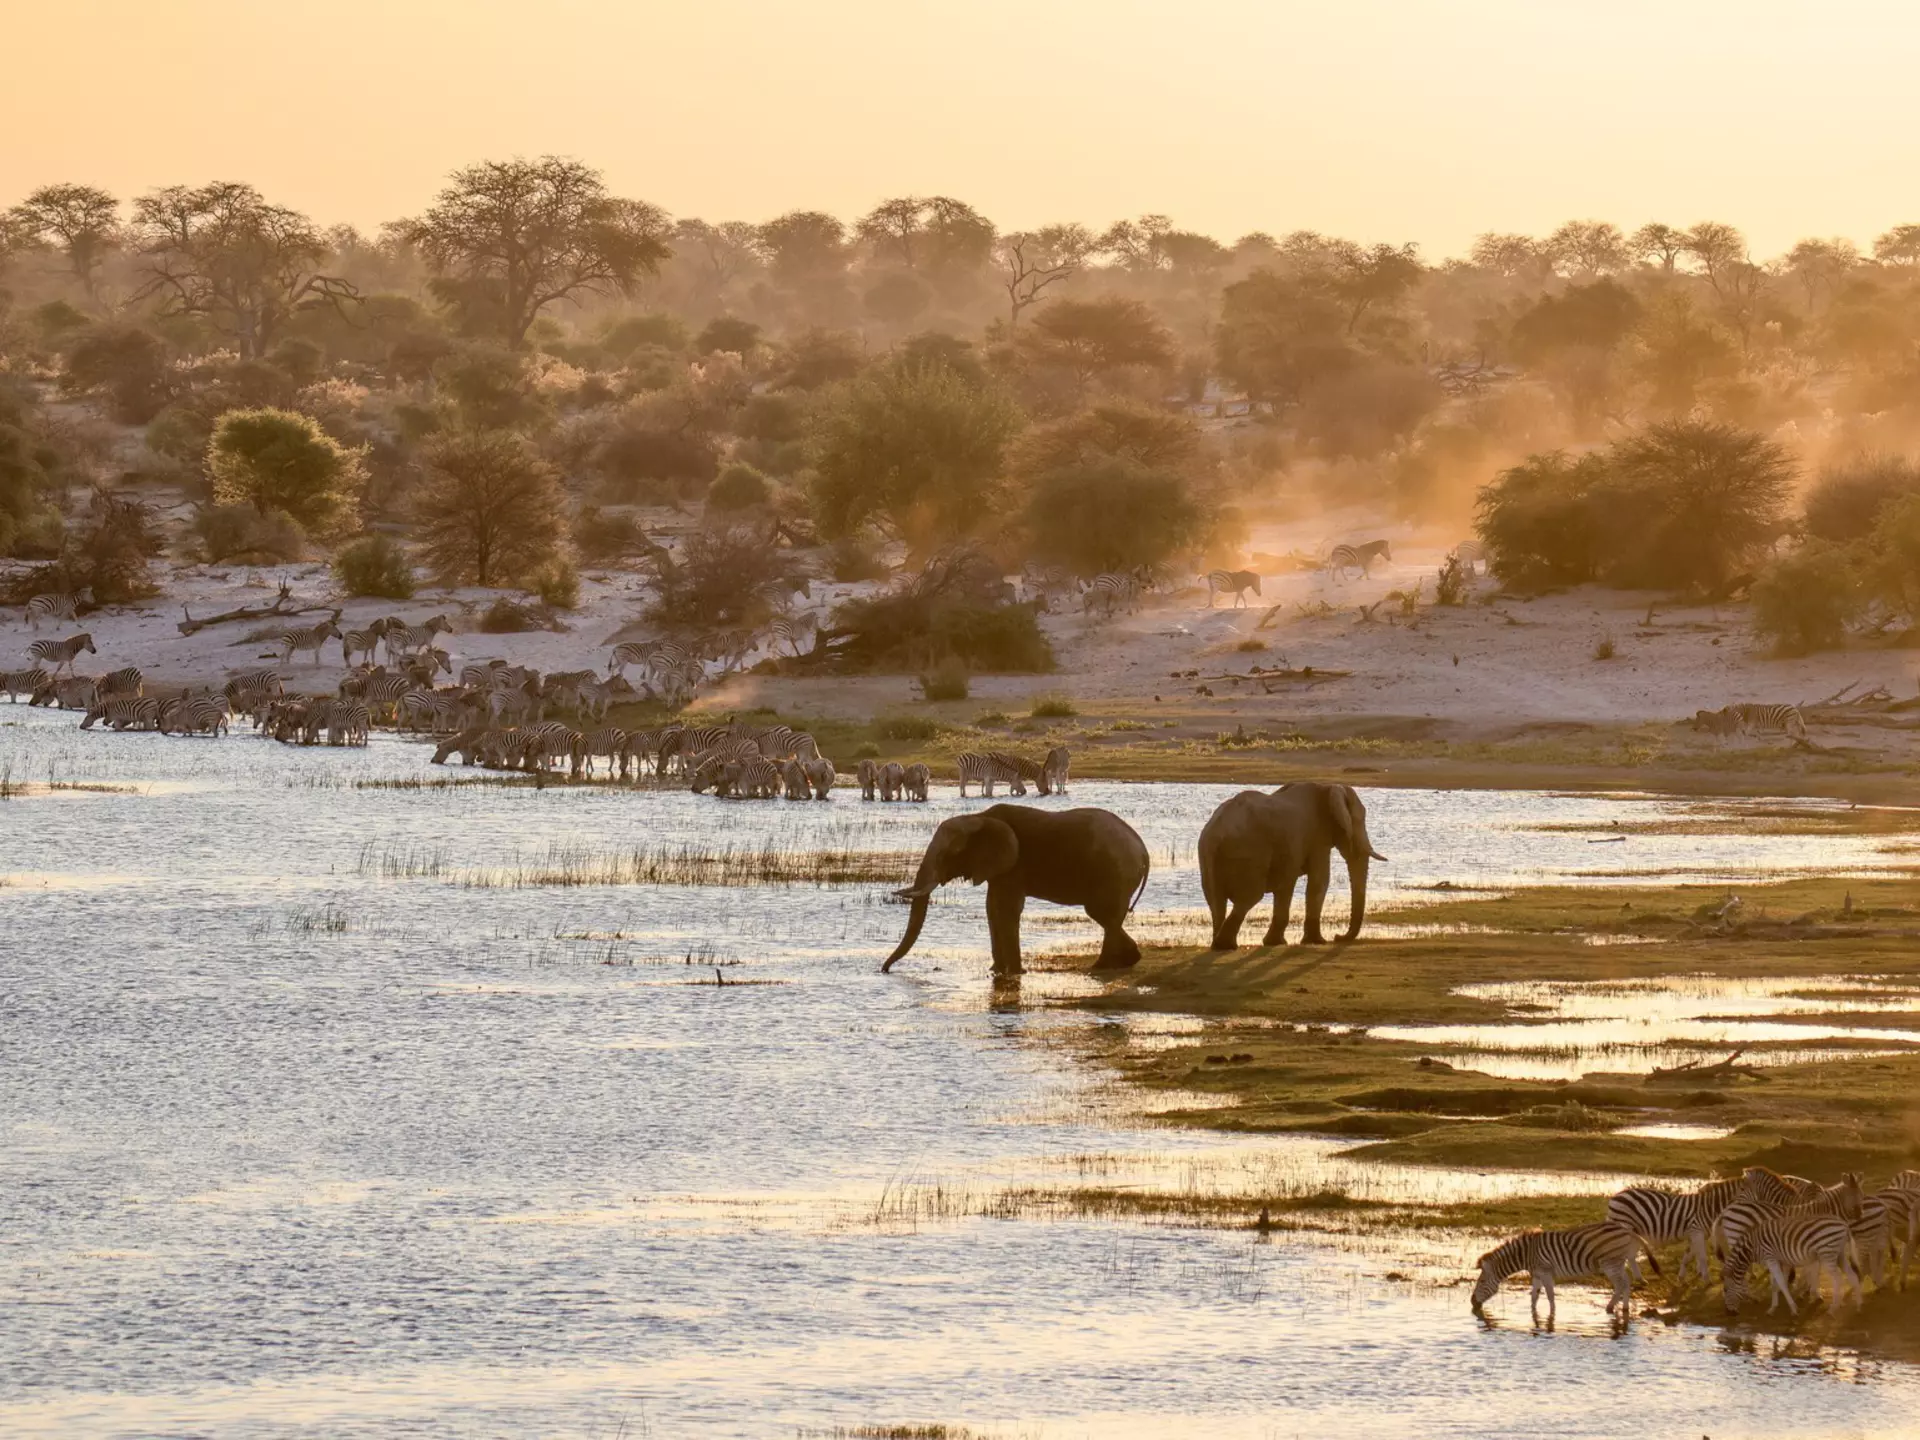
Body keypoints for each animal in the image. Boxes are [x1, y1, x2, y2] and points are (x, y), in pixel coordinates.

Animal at [883, 805, 1150, 975]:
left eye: (949, 854)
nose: (884, 970)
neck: (978, 817)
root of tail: (1142, 849)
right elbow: (992, 908)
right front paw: (997, 971)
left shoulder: (1014, 864)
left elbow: (1006, 909)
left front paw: (1014, 973)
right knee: (1107, 916)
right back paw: (1123, 961)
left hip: (1114, 873)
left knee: (1100, 913)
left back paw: (1107, 965)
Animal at [1197, 782, 1386, 948]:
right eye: (1359, 820)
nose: (1337, 936)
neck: (1328, 787)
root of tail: (1217, 831)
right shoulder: (1317, 837)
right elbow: (1319, 881)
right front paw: (1316, 941)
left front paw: (1277, 942)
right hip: (1249, 852)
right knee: (1250, 897)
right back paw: (1225, 945)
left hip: (1209, 856)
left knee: (1216, 902)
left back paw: (1220, 944)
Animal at [1469, 1221, 1648, 1321]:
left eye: (1482, 1281)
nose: (1472, 1302)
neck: (1527, 1254)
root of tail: (1626, 1229)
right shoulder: (1537, 1274)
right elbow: (1534, 1296)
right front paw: (1533, 1313)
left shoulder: (1546, 1272)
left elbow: (1550, 1295)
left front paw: (1552, 1314)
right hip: (1618, 1262)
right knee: (1626, 1282)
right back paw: (1624, 1309)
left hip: (1610, 1263)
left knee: (1620, 1284)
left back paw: (1610, 1308)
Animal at [1722, 1211, 1861, 1315]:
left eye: (1725, 1289)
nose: (1728, 1313)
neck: (1751, 1248)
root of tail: (1844, 1224)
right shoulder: (1779, 1261)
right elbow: (1776, 1284)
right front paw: (1773, 1307)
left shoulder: (1770, 1258)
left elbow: (1782, 1283)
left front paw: (1793, 1308)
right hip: (1839, 1254)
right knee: (1852, 1275)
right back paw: (1859, 1304)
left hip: (1827, 1254)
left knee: (1838, 1278)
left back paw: (1833, 1308)